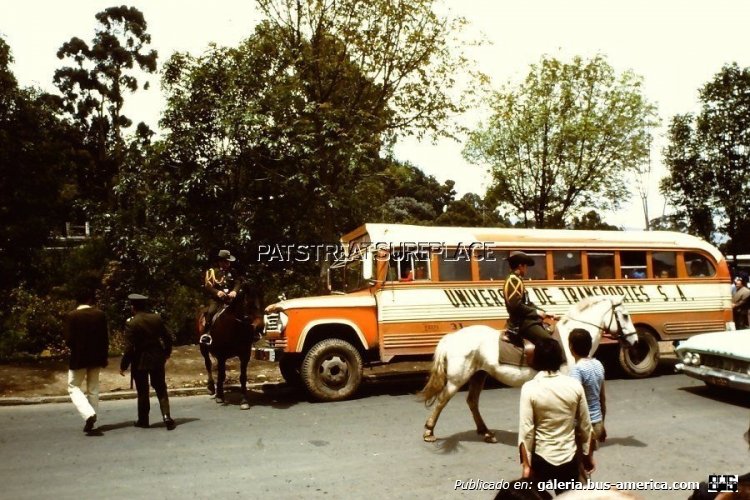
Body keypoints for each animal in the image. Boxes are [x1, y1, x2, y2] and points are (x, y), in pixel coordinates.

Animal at [420, 294, 636, 444]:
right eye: (625, 316)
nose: (635, 341)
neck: (571, 339)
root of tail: (452, 337)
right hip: (457, 379)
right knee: (442, 400)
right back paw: (429, 432)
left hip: (479, 375)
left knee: (472, 401)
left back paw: (486, 433)